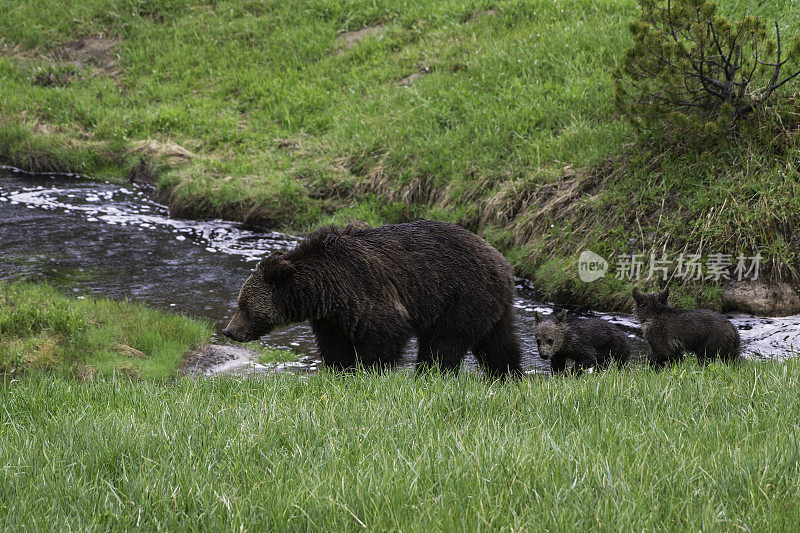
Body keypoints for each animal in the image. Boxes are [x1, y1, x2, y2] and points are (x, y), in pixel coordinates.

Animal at [223, 218, 524, 376]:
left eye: (243, 306)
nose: (229, 331)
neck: (322, 288)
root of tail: (504, 264)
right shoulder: (333, 316)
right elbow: (335, 346)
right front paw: (339, 370)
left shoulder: (364, 290)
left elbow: (385, 333)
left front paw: (367, 371)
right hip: (493, 306)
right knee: (500, 344)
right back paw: (507, 375)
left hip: (461, 296)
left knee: (443, 343)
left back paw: (428, 374)